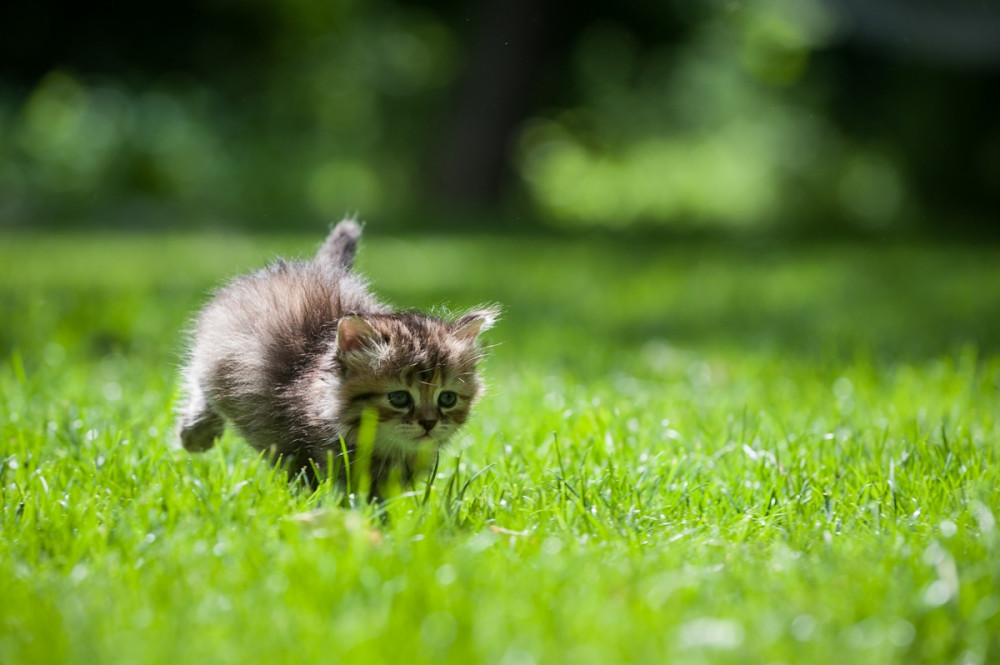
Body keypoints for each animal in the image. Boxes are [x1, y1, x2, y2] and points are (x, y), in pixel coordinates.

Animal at [177, 219, 500, 492]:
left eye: (447, 398)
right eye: (399, 398)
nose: (429, 423)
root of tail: (322, 268)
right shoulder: (297, 449)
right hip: (219, 352)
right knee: (199, 378)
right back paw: (195, 432)